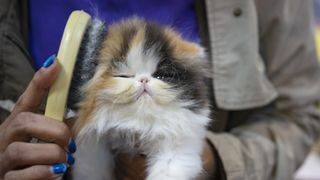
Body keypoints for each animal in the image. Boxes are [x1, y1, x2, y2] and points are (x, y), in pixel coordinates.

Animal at [72, 17, 212, 180]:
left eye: (160, 76)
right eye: (124, 76)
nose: (143, 79)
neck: (140, 123)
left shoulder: (178, 150)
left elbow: (167, 171)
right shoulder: (94, 145)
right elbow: (92, 168)